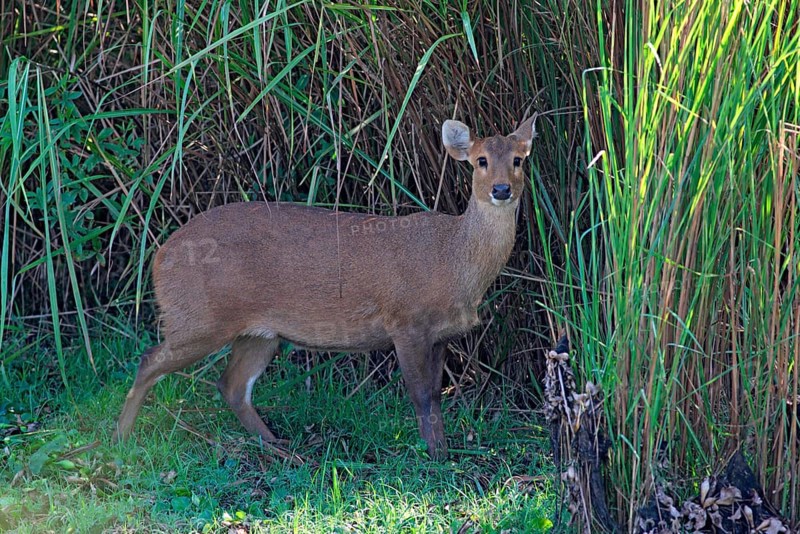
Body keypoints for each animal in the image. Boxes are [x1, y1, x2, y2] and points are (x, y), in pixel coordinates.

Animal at [115, 115, 537, 461]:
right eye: (481, 160)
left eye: (518, 159)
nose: (501, 189)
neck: (452, 261)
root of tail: (159, 257)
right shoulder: (406, 322)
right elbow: (419, 396)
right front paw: (432, 459)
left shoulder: (442, 335)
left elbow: (434, 397)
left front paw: (445, 454)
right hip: (199, 318)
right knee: (150, 359)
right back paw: (120, 440)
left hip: (259, 333)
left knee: (232, 385)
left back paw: (281, 448)